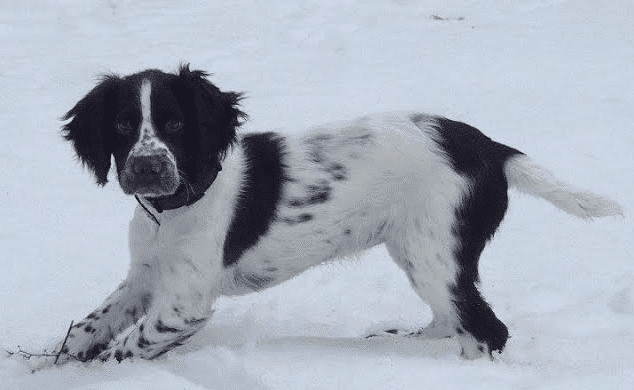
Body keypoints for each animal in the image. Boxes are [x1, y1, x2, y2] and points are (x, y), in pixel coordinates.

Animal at [53, 65, 616, 364]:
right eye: (122, 125)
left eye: (174, 124)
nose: (146, 168)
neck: (174, 207)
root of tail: (490, 147)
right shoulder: (146, 275)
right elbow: (91, 325)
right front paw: (62, 359)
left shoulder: (183, 302)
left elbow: (128, 345)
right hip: (419, 249)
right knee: (450, 314)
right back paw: (403, 342)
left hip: (435, 249)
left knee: (484, 328)